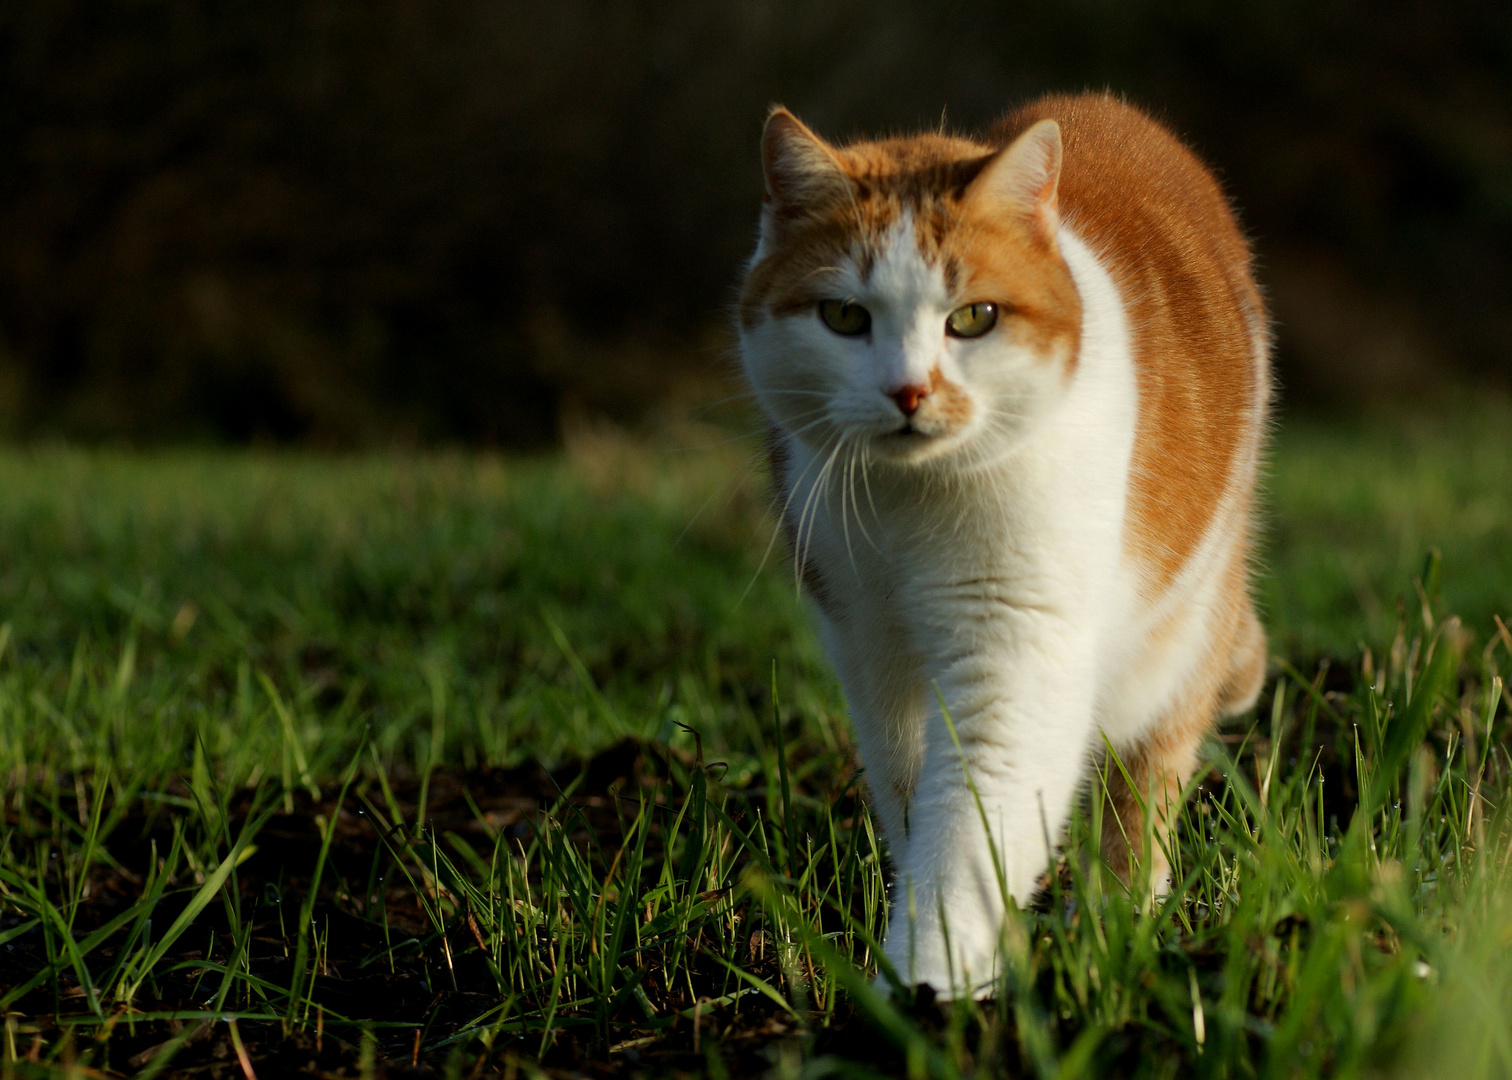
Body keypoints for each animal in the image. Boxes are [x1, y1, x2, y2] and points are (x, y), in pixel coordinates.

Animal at [737, 92, 1270, 992]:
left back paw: (1114, 920)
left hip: (1183, 623)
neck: (914, 506)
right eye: (844, 316)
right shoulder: (868, 644)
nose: (909, 391)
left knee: (1147, 779)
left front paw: (928, 986)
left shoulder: (1019, 647)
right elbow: (914, 796)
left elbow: (975, 825)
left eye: (973, 318)